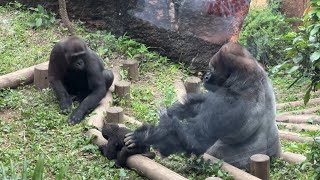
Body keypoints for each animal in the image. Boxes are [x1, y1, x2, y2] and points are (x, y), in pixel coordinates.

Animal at [125, 42, 280, 169]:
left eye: (212, 69)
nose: (206, 76)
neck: (247, 78)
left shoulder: (230, 102)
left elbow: (194, 140)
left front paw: (143, 136)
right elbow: (195, 106)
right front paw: (171, 113)